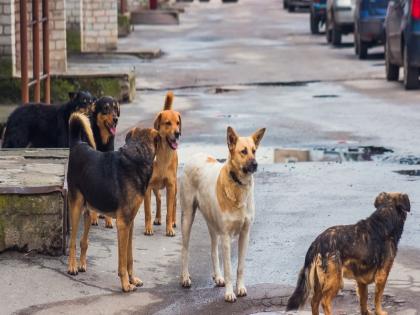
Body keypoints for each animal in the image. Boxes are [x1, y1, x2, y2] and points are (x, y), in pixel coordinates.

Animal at [67, 113, 159, 294]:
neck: (137, 155)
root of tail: (77, 144)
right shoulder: (123, 224)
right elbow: (122, 260)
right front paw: (125, 284)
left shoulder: (129, 223)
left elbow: (129, 258)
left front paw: (132, 279)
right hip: (76, 207)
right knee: (73, 241)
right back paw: (72, 266)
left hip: (88, 210)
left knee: (83, 241)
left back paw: (81, 264)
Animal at [143, 91, 180, 237]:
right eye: (168, 123)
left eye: (178, 123)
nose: (178, 133)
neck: (163, 155)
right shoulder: (147, 187)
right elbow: (147, 211)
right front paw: (148, 228)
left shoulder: (170, 186)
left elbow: (169, 210)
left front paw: (169, 228)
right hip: (155, 186)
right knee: (158, 198)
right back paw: (158, 218)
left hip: (175, 186)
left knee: (174, 203)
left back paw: (174, 221)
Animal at [180, 126, 266, 304]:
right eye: (243, 151)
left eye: (254, 151)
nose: (255, 164)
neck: (238, 185)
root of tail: (196, 155)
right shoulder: (226, 237)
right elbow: (229, 269)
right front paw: (229, 293)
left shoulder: (245, 234)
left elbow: (240, 267)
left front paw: (240, 288)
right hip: (187, 217)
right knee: (185, 249)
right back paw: (185, 278)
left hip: (212, 224)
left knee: (213, 250)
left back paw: (217, 276)